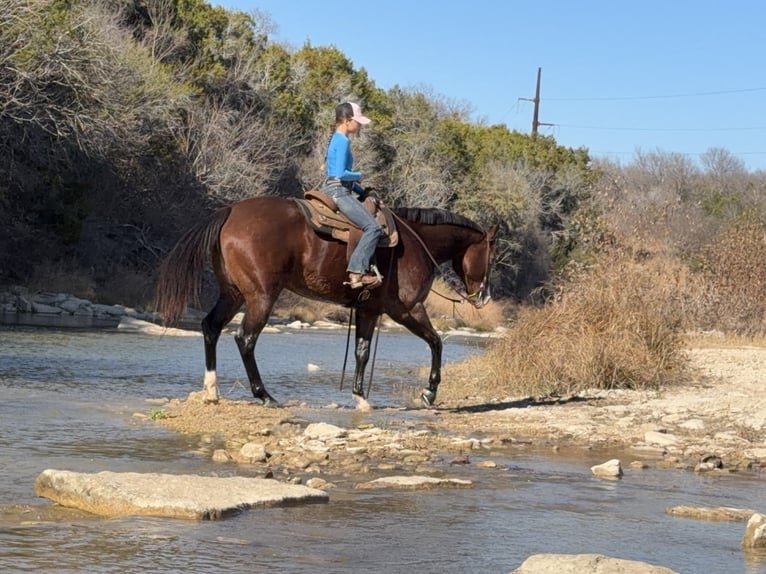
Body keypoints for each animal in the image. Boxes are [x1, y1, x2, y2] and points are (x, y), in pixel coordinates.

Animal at [155, 195, 496, 408]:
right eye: (490, 255)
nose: (484, 295)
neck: (415, 242)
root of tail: (230, 211)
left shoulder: (369, 310)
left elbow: (362, 352)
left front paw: (360, 397)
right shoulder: (407, 309)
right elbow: (436, 342)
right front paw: (429, 392)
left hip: (233, 294)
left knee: (210, 327)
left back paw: (211, 390)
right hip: (261, 297)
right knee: (245, 338)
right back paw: (264, 395)